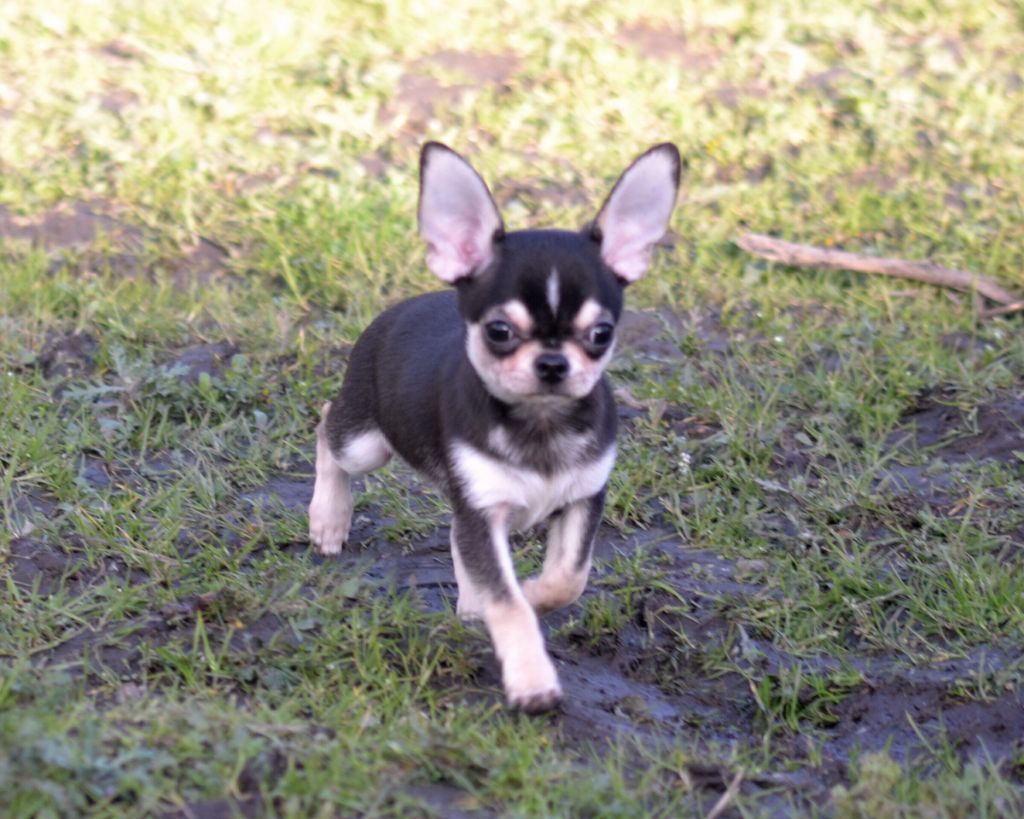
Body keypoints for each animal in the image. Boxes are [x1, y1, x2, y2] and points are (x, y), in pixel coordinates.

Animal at [308, 142, 680, 712]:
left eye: (601, 333)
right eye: (500, 332)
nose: (553, 363)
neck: (540, 424)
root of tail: (406, 304)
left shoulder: (581, 499)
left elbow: (567, 578)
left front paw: (529, 594)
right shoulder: (485, 511)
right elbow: (507, 602)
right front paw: (530, 679)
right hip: (367, 441)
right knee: (328, 426)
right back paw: (328, 518)